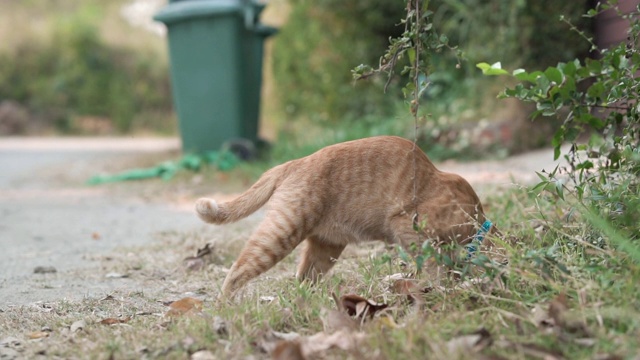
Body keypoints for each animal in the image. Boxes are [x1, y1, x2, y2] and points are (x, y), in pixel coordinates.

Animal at [195, 135, 484, 296]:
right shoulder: (405, 224)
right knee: (237, 271)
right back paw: (225, 308)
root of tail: (293, 163)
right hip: (281, 234)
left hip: (325, 248)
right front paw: (441, 287)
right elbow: (433, 263)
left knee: (303, 281)